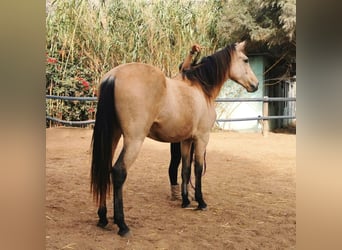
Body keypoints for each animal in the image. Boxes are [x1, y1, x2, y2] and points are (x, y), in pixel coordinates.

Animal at [89, 40, 258, 236]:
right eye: (246, 60)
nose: (255, 85)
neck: (201, 89)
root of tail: (113, 77)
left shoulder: (185, 140)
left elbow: (185, 169)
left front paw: (185, 201)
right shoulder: (202, 138)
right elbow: (198, 169)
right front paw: (201, 202)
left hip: (113, 136)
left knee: (104, 168)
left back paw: (102, 218)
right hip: (134, 140)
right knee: (118, 172)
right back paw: (122, 225)